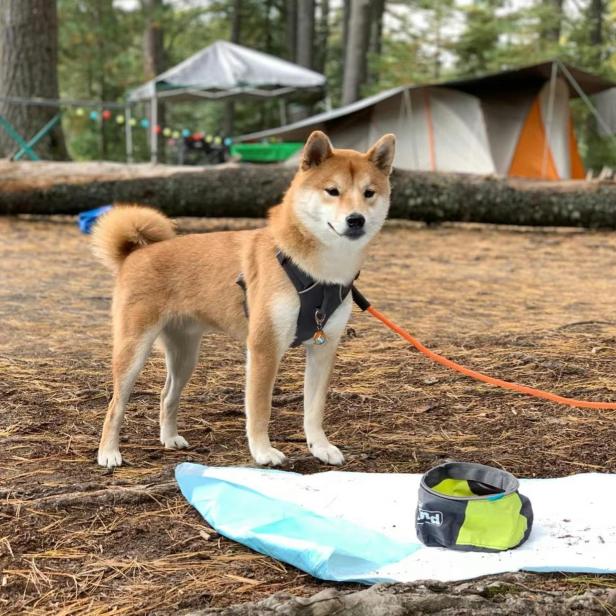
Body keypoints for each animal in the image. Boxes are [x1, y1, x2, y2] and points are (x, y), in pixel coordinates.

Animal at [94, 130, 398, 466]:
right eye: (333, 191)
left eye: (369, 193)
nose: (356, 219)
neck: (317, 272)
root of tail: (134, 254)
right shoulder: (264, 347)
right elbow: (260, 408)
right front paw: (263, 451)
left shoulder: (324, 347)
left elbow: (314, 410)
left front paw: (320, 447)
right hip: (133, 350)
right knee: (115, 405)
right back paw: (109, 452)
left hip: (185, 355)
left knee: (167, 395)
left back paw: (170, 438)